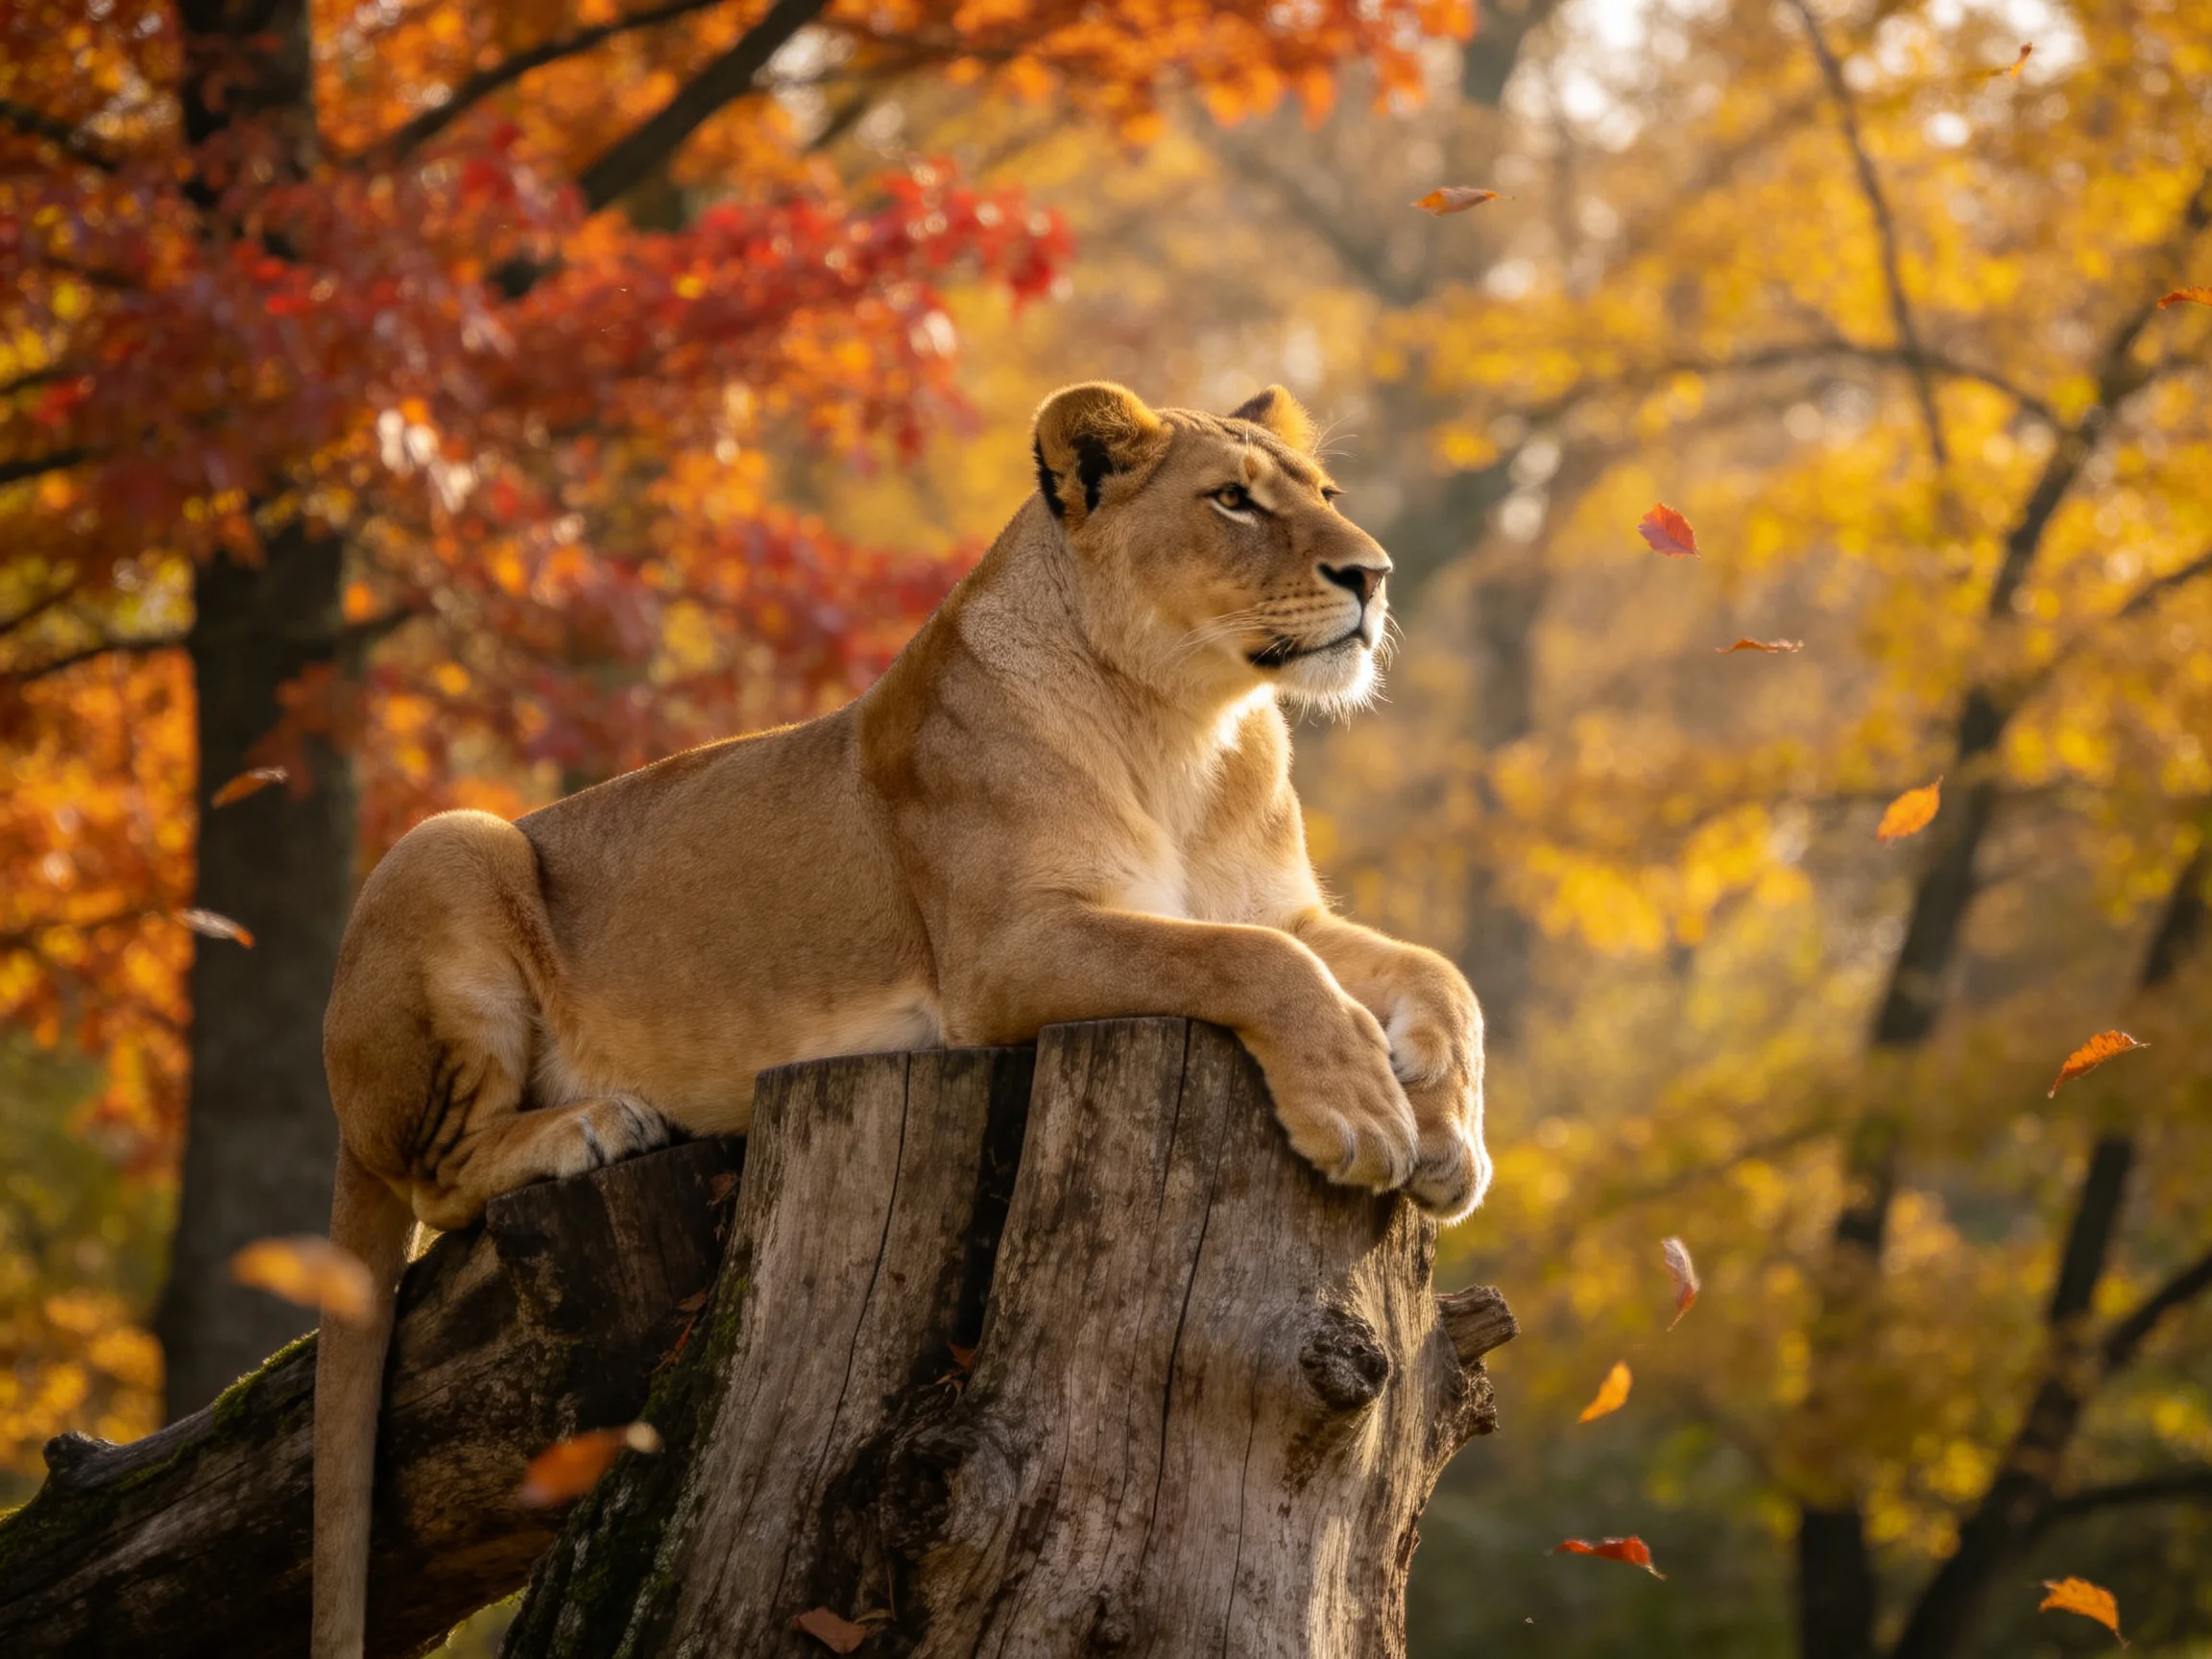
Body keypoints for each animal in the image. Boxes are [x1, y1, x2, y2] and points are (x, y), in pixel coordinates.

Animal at [308, 380, 1489, 1655]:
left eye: (1323, 493)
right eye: (1231, 499)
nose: (1371, 575)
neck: (1187, 728)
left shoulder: (1286, 905)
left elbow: (1433, 974)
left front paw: (1450, 1136)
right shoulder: (1007, 955)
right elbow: (1253, 963)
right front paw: (1364, 1114)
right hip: (451, 843)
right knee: (435, 1178)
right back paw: (588, 1126)